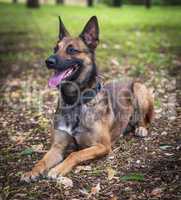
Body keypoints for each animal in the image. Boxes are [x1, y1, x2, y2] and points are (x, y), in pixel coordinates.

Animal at [21, 16, 154, 181]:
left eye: (72, 50)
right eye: (55, 49)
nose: (48, 61)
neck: (76, 101)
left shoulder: (103, 146)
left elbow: (75, 154)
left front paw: (58, 169)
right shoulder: (57, 147)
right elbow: (43, 160)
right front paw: (32, 171)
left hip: (138, 88)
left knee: (145, 120)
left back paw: (141, 128)